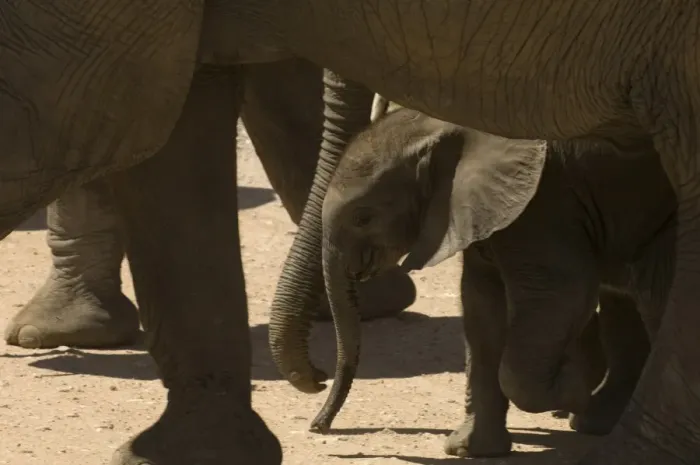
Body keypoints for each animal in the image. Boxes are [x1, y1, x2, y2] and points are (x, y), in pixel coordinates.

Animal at [302, 108, 669, 456]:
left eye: (363, 218)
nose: (318, 425)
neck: (444, 126)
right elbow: (481, 308)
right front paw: (469, 450)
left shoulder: (544, 205)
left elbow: (564, 295)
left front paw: (576, 386)